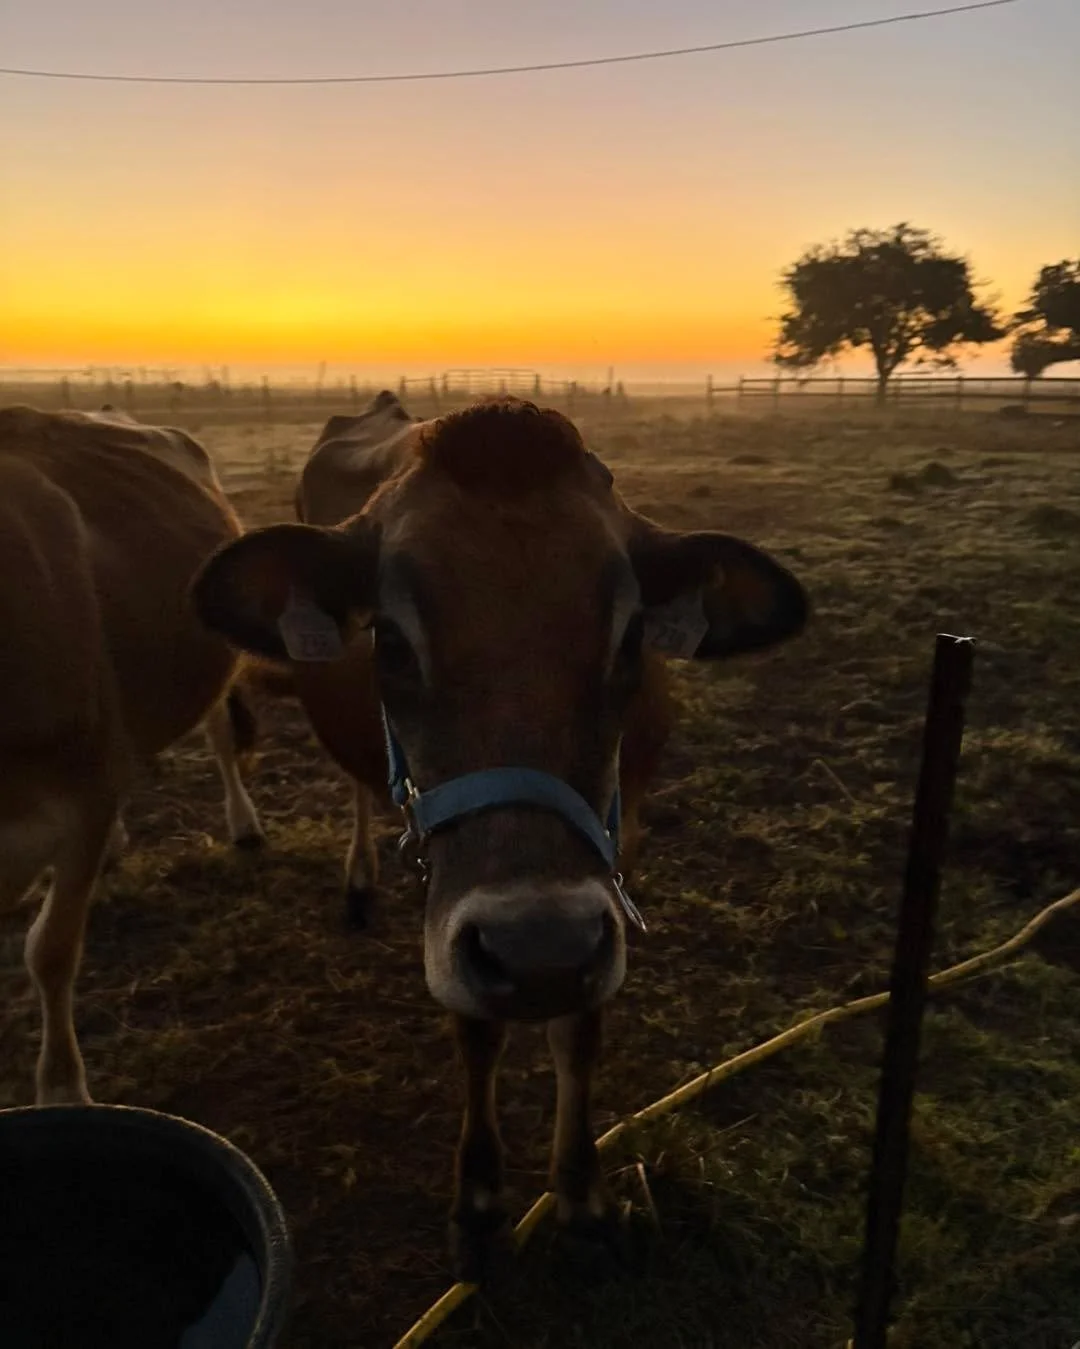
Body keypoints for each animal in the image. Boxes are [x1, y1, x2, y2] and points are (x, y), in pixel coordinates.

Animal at [192, 393, 808, 1278]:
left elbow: (582, 1025)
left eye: (632, 638)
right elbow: (476, 1027)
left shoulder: (618, 850)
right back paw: (357, 882)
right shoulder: (448, 885)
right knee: (358, 790)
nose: (538, 947)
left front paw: (581, 1196)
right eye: (389, 640)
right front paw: (480, 1202)